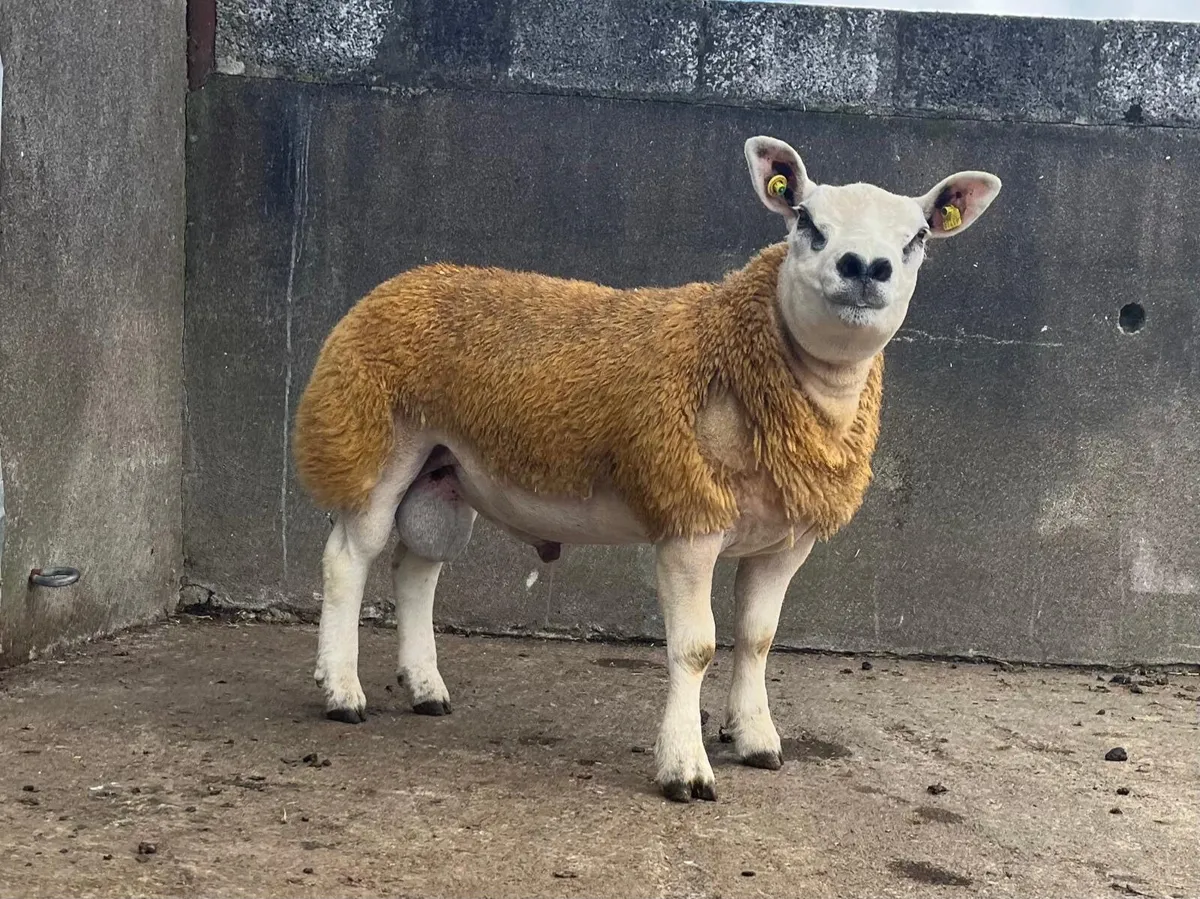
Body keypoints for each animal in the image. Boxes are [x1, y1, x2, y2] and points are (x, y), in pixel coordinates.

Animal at [293, 135, 1001, 803]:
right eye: (805, 221)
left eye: (917, 237)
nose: (863, 268)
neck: (748, 360)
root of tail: (400, 284)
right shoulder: (689, 517)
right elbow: (697, 647)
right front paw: (685, 769)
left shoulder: (787, 539)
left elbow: (758, 637)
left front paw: (756, 739)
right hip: (375, 438)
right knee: (349, 556)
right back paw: (342, 691)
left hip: (447, 469)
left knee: (417, 566)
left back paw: (425, 688)